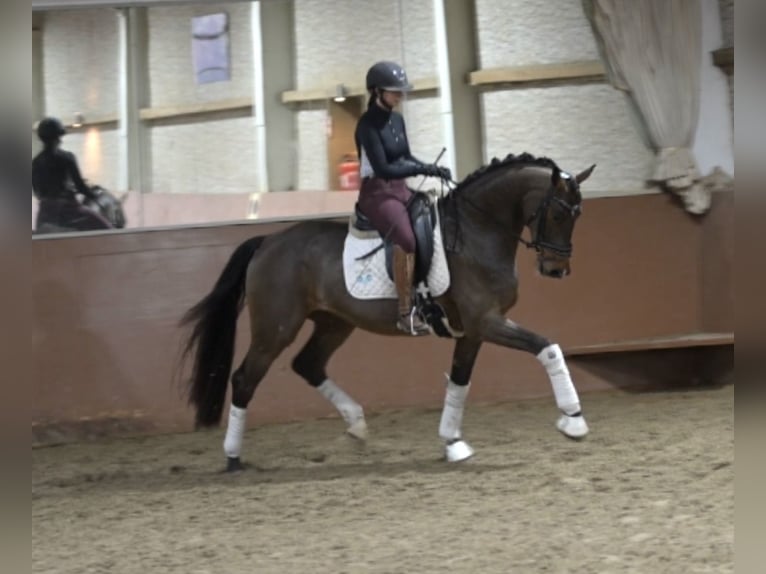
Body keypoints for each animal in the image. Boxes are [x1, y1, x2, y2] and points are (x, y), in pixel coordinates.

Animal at [179, 152, 596, 471]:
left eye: (578, 215)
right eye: (559, 214)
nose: (556, 270)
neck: (478, 231)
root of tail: (268, 241)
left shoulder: (473, 330)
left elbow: (459, 382)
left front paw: (452, 442)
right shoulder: (487, 322)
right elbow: (547, 346)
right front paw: (573, 420)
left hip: (334, 323)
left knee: (307, 364)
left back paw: (357, 425)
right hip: (276, 328)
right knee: (245, 379)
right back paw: (233, 457)